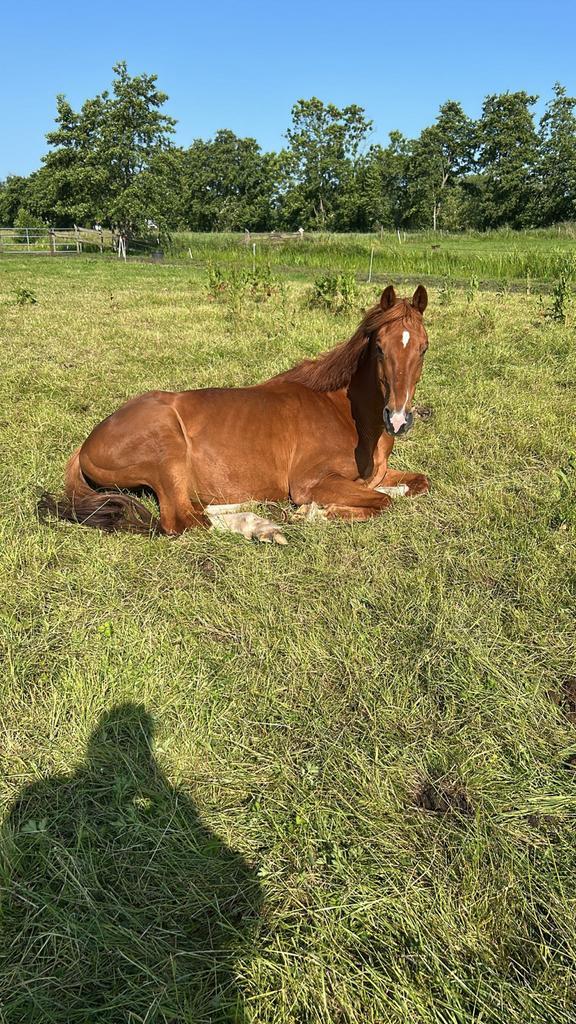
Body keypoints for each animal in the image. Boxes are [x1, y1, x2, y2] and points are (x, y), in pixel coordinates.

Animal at [39, 285, 430, 544]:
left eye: (424, 348)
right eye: (379, 348)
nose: (398, 420)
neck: (346, 414)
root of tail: (86, 444)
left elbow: (415, 484)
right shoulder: (311, 482)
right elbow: (381, 501)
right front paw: (315, 513)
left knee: (198, 509)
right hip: (167, 451)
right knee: (183, 519)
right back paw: (262, 526)